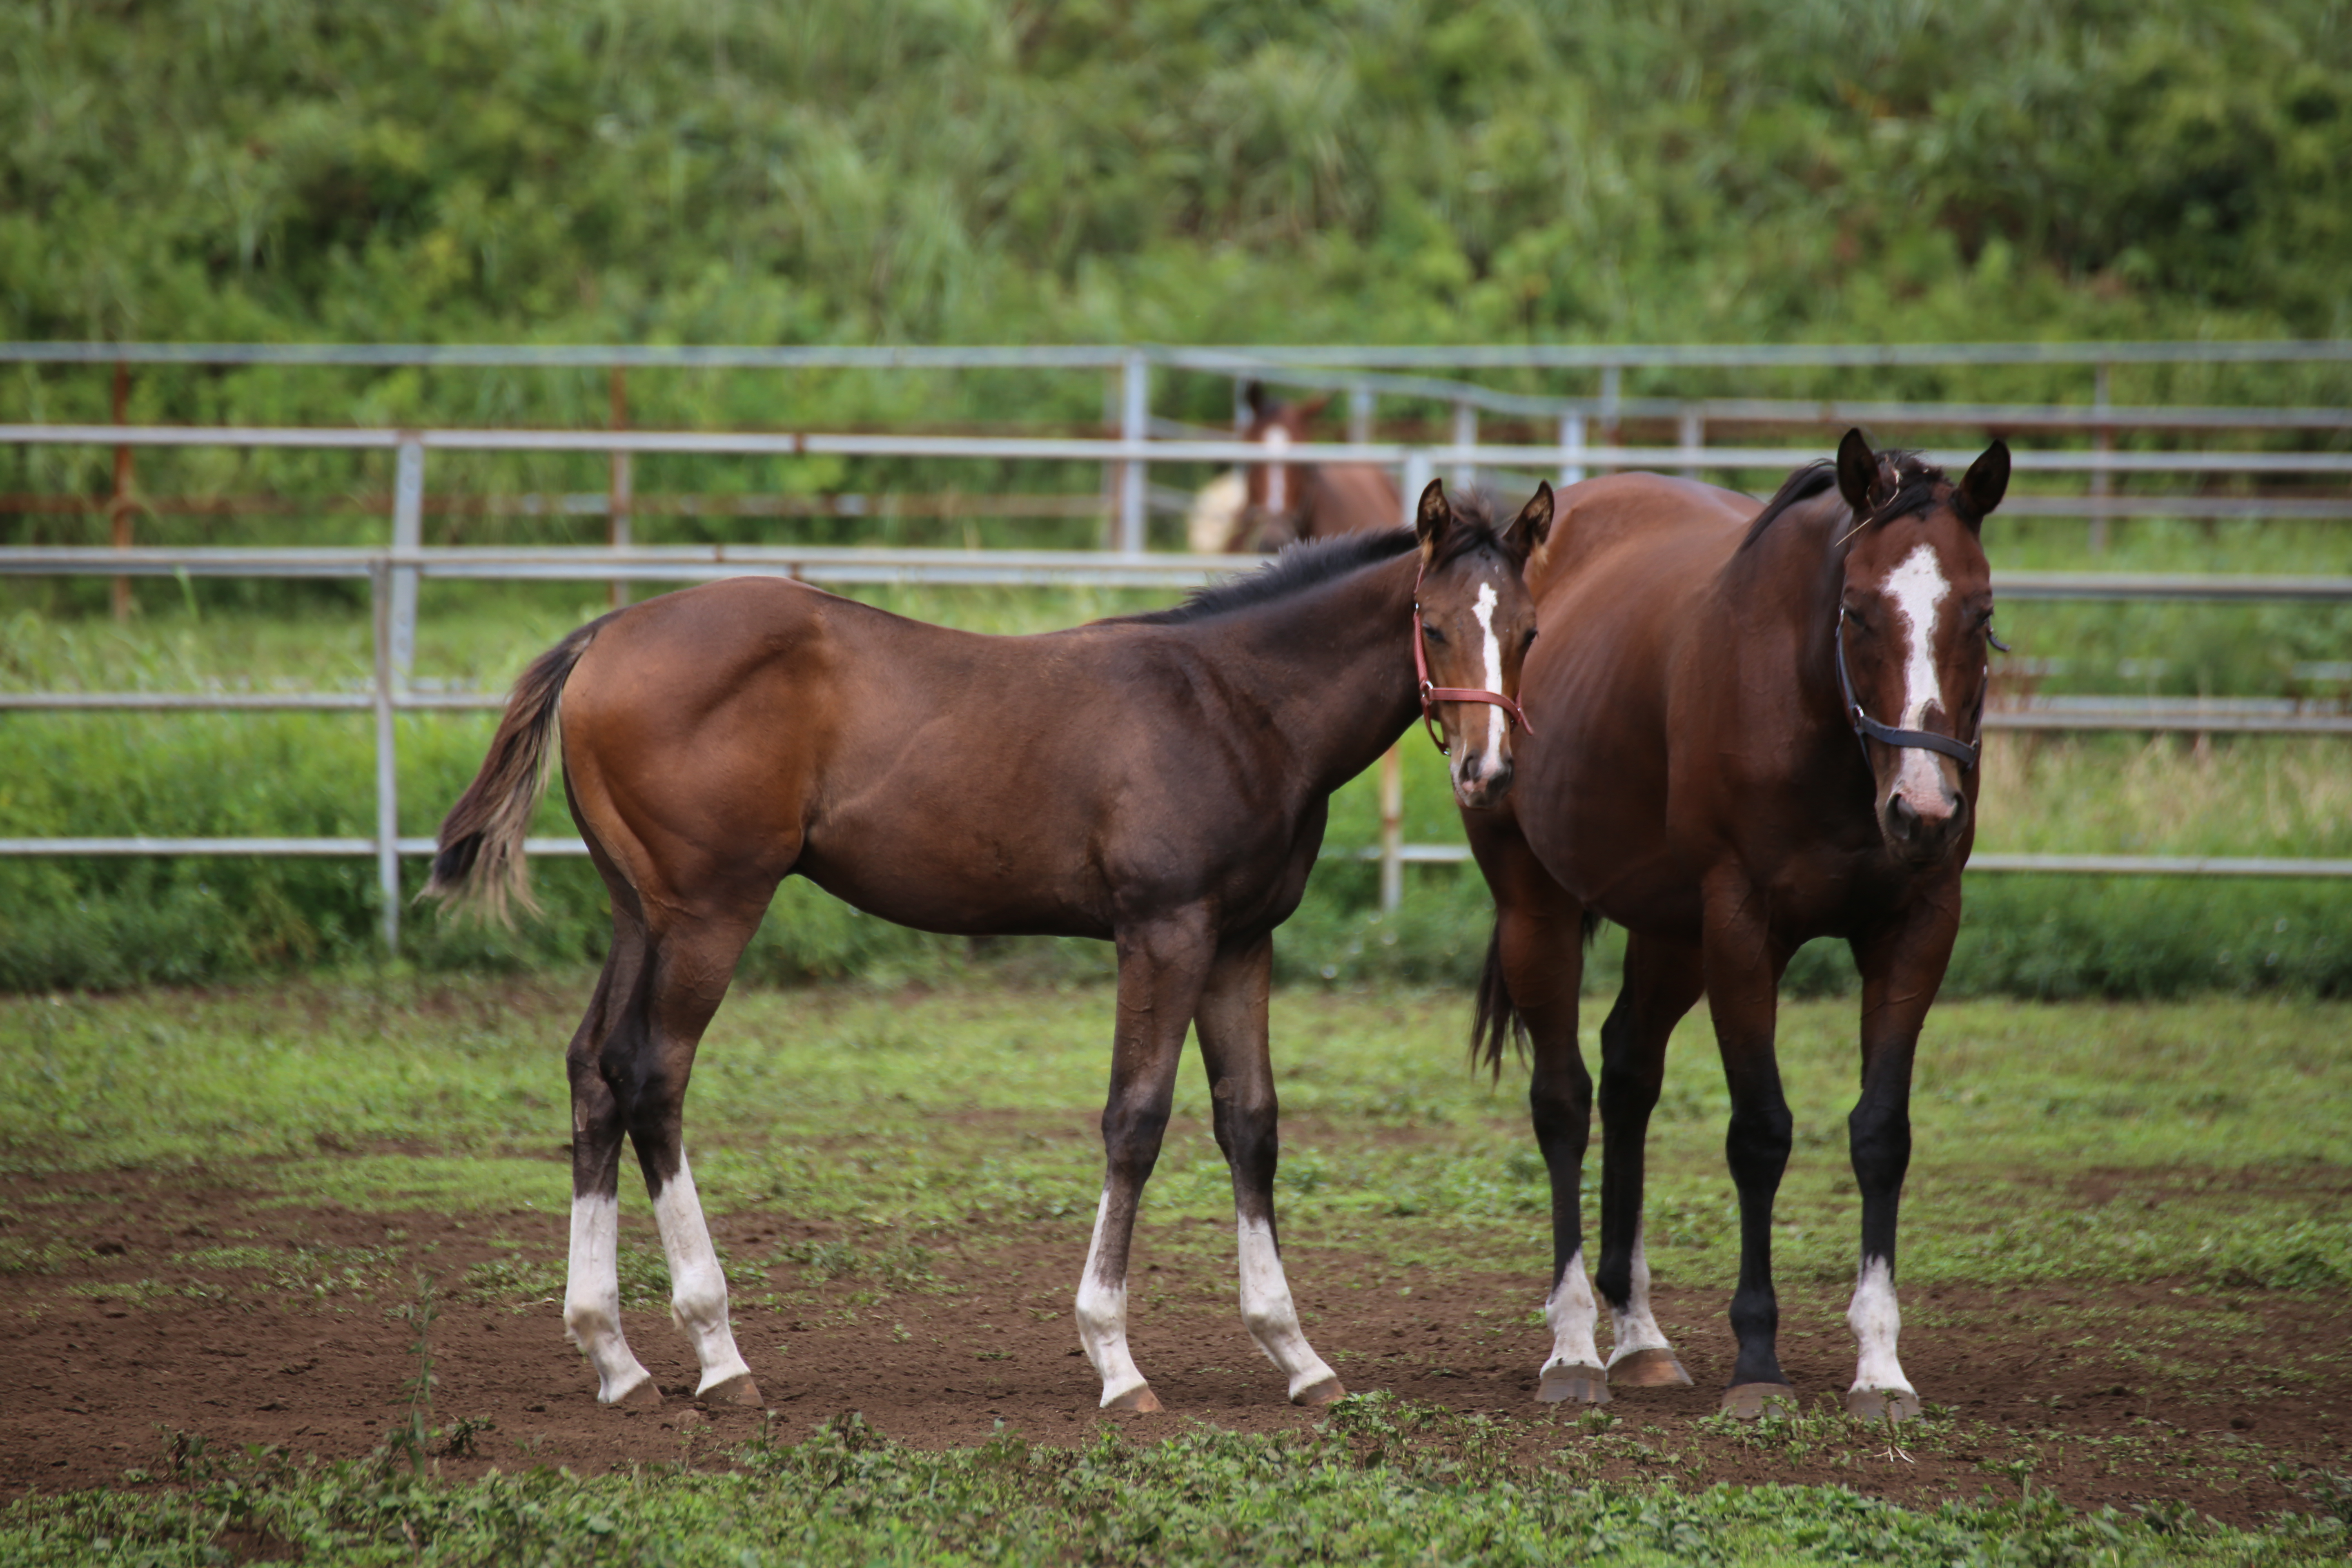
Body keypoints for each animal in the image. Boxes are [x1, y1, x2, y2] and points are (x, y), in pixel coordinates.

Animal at [1468, 425, 2004, 1420]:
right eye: (1858, 612)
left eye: (1980, 616)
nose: (1922, 810)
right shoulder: (1742, 929)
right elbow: (1760, 1133)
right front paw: (1758, 1359)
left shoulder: (1918, 928)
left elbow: (1882, 1133)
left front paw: (1881, 1365)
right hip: (1538, 903)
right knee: (1563, 1100)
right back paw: (1574, 1347)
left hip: (1672, 932)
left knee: (1628, 1074)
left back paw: (1638, 1335)